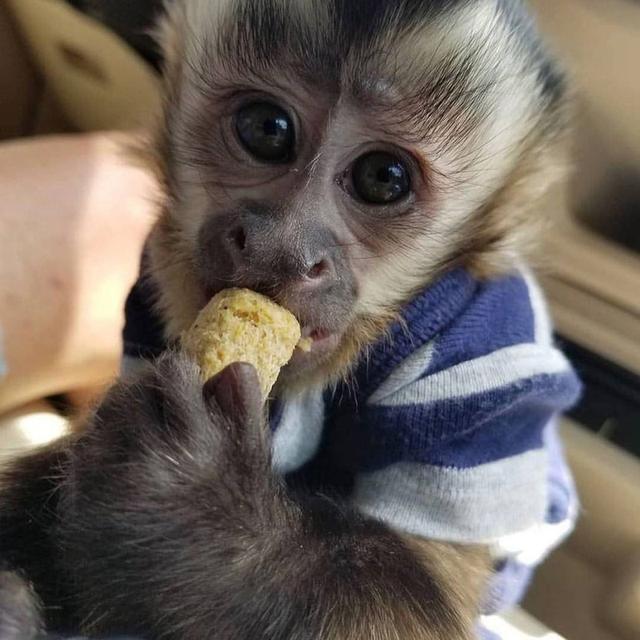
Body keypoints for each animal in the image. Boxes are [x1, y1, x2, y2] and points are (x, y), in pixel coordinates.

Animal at [0, 1, 582, 638]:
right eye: (266, 129)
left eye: (384, 177)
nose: (280, 245)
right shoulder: (151, 293)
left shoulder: (481, 356)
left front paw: (201, 502)